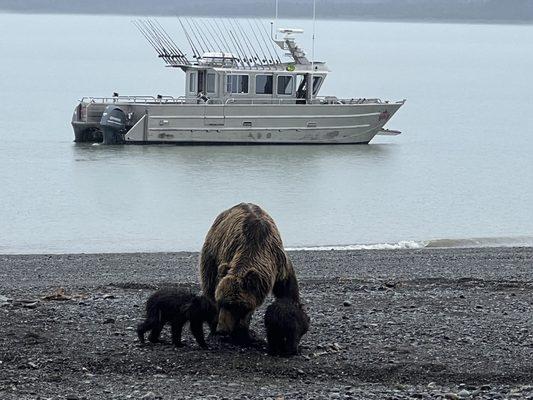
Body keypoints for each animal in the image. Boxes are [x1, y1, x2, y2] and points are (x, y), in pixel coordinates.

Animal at [200, 203, 300, 344]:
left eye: (233, 306)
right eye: (221, 302)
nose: (222, 329)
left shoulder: (278, 263)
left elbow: (287, 290)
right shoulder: (228, 254)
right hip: (211, 253)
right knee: (209, 285)